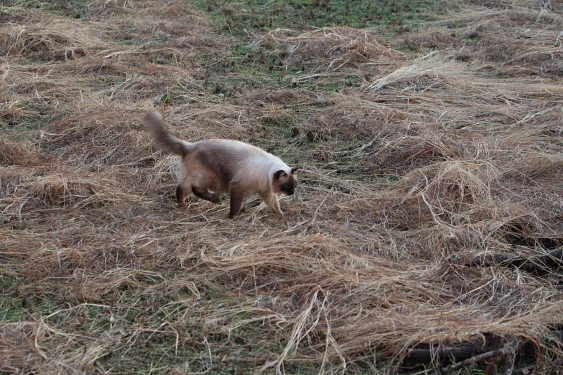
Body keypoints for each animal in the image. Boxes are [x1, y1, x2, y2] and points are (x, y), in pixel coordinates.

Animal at [144, 110, 300, 219]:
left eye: (294, 185)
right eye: (286, 186)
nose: (292, 193)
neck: (265, 174)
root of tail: (190, 145)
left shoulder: (266, 193)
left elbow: (275, 205)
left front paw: (281, 214)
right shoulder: (237, 189)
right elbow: (235, 207)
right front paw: (232, 218)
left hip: (193, 177)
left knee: (181, 189)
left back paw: (182, 205)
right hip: (211, 178)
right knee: (195, 188)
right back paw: (215, 199)